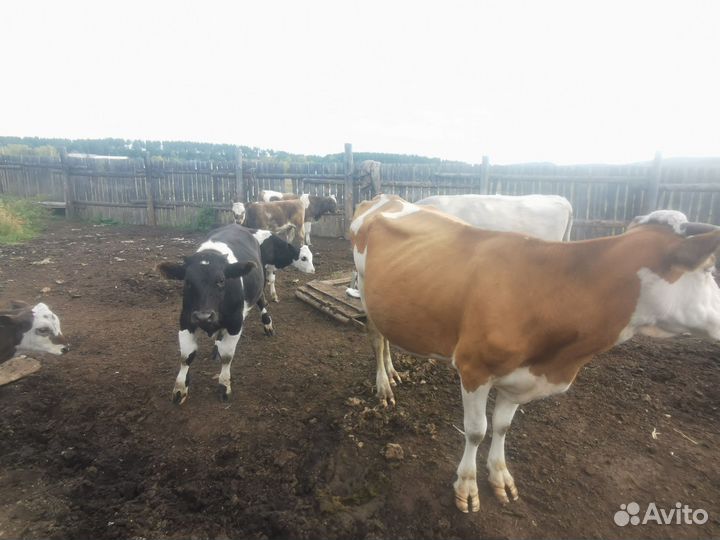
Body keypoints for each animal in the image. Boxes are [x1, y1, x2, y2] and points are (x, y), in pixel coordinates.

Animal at [157, 224, 274, 404]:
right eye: (188, 282)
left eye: (221, 280)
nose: (203, 317)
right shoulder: (186, 320)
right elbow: (186, 356)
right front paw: (180, 389)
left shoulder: (235, 323)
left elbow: (227, 356)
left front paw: (224, 386)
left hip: (259, 288)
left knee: (262, 302)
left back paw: (267, 325)